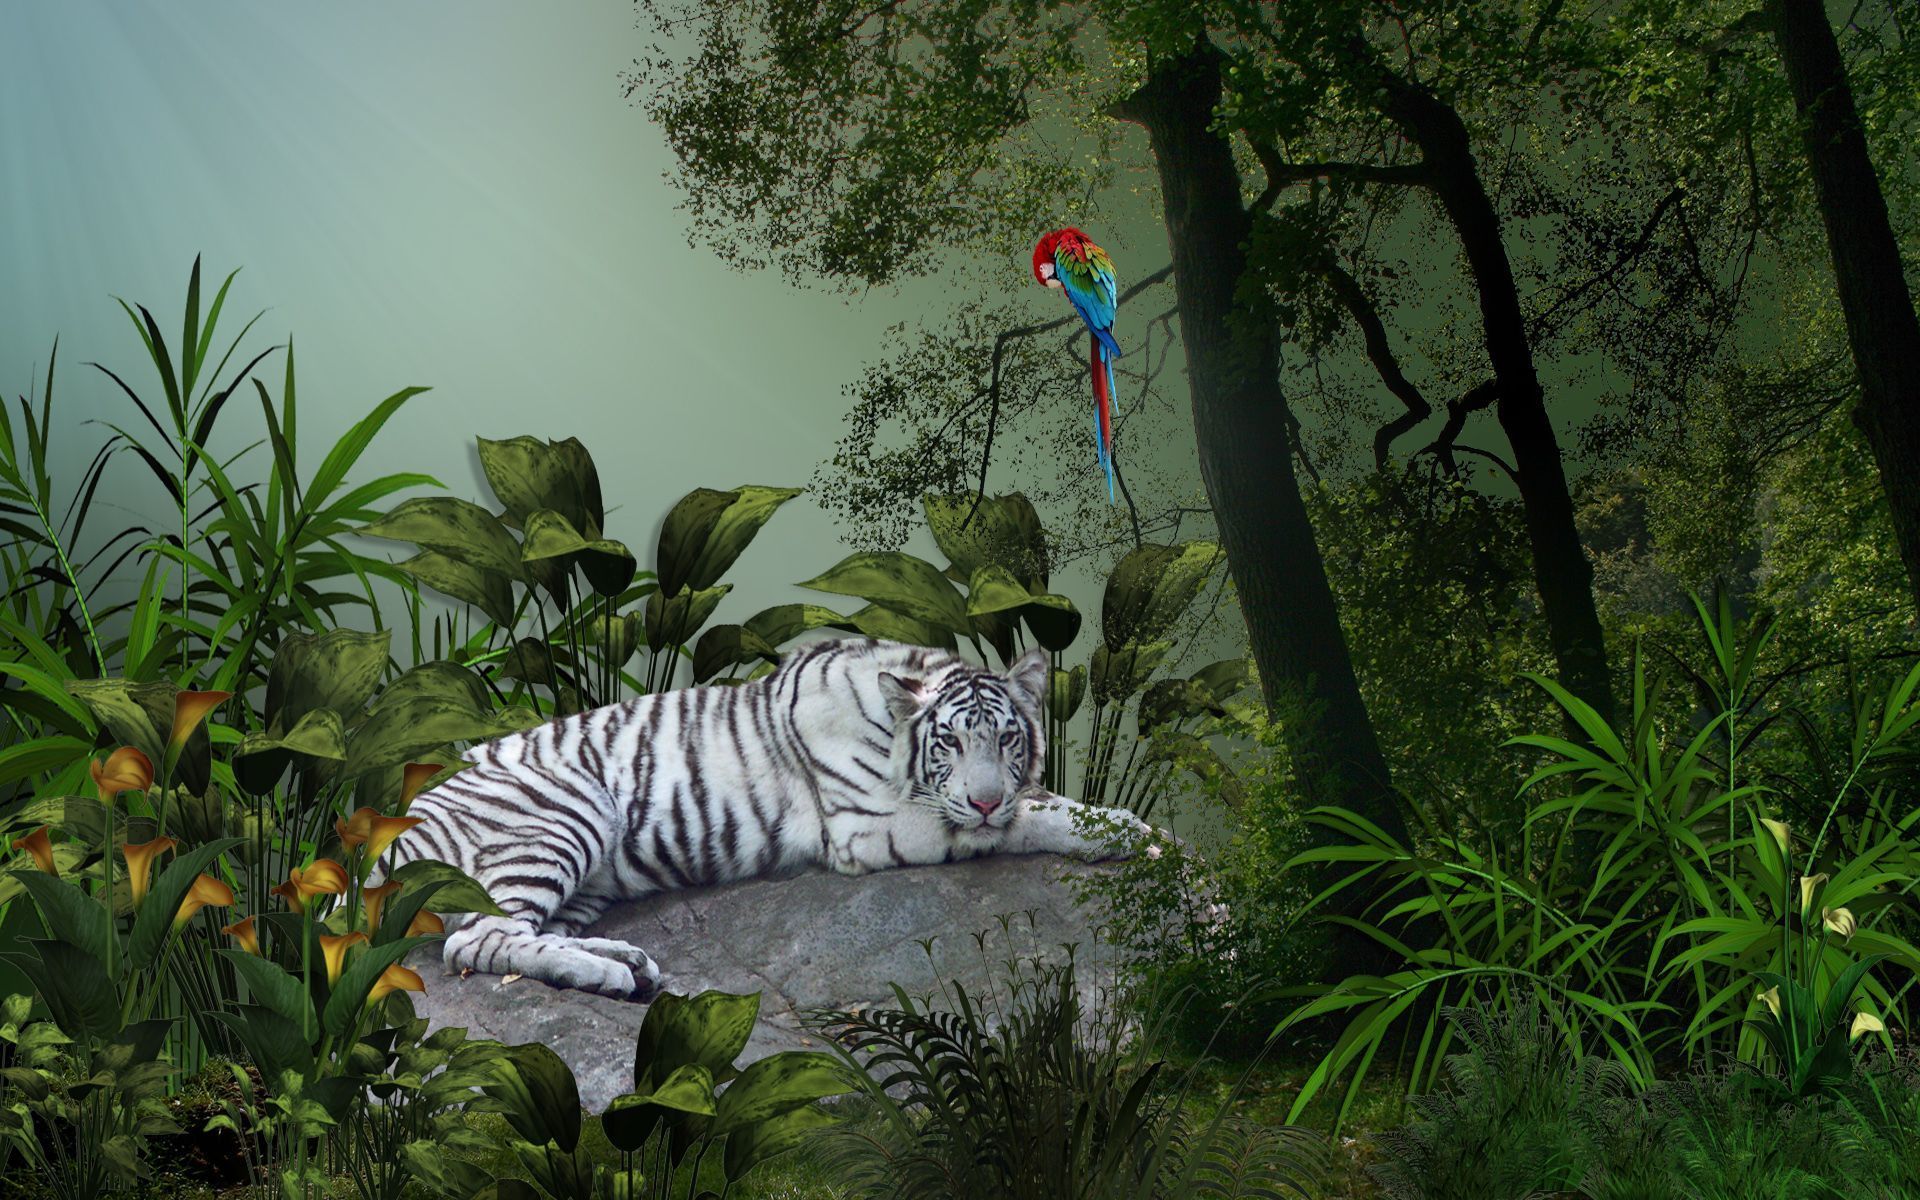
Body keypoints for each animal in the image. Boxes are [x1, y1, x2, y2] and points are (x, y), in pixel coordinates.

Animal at [381, 636, 1153, 1000]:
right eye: (951, 743)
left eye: (1008, 738)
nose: (987, 794)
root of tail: (393, 821)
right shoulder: (871, 827)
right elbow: (1023, 818)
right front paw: (1118, 834)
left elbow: (1043, 798)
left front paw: (1132, 826)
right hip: (564, 811)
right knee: (476, 941)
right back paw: (608, 976)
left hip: (588, 879)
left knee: (522, 932)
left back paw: (626, 964)